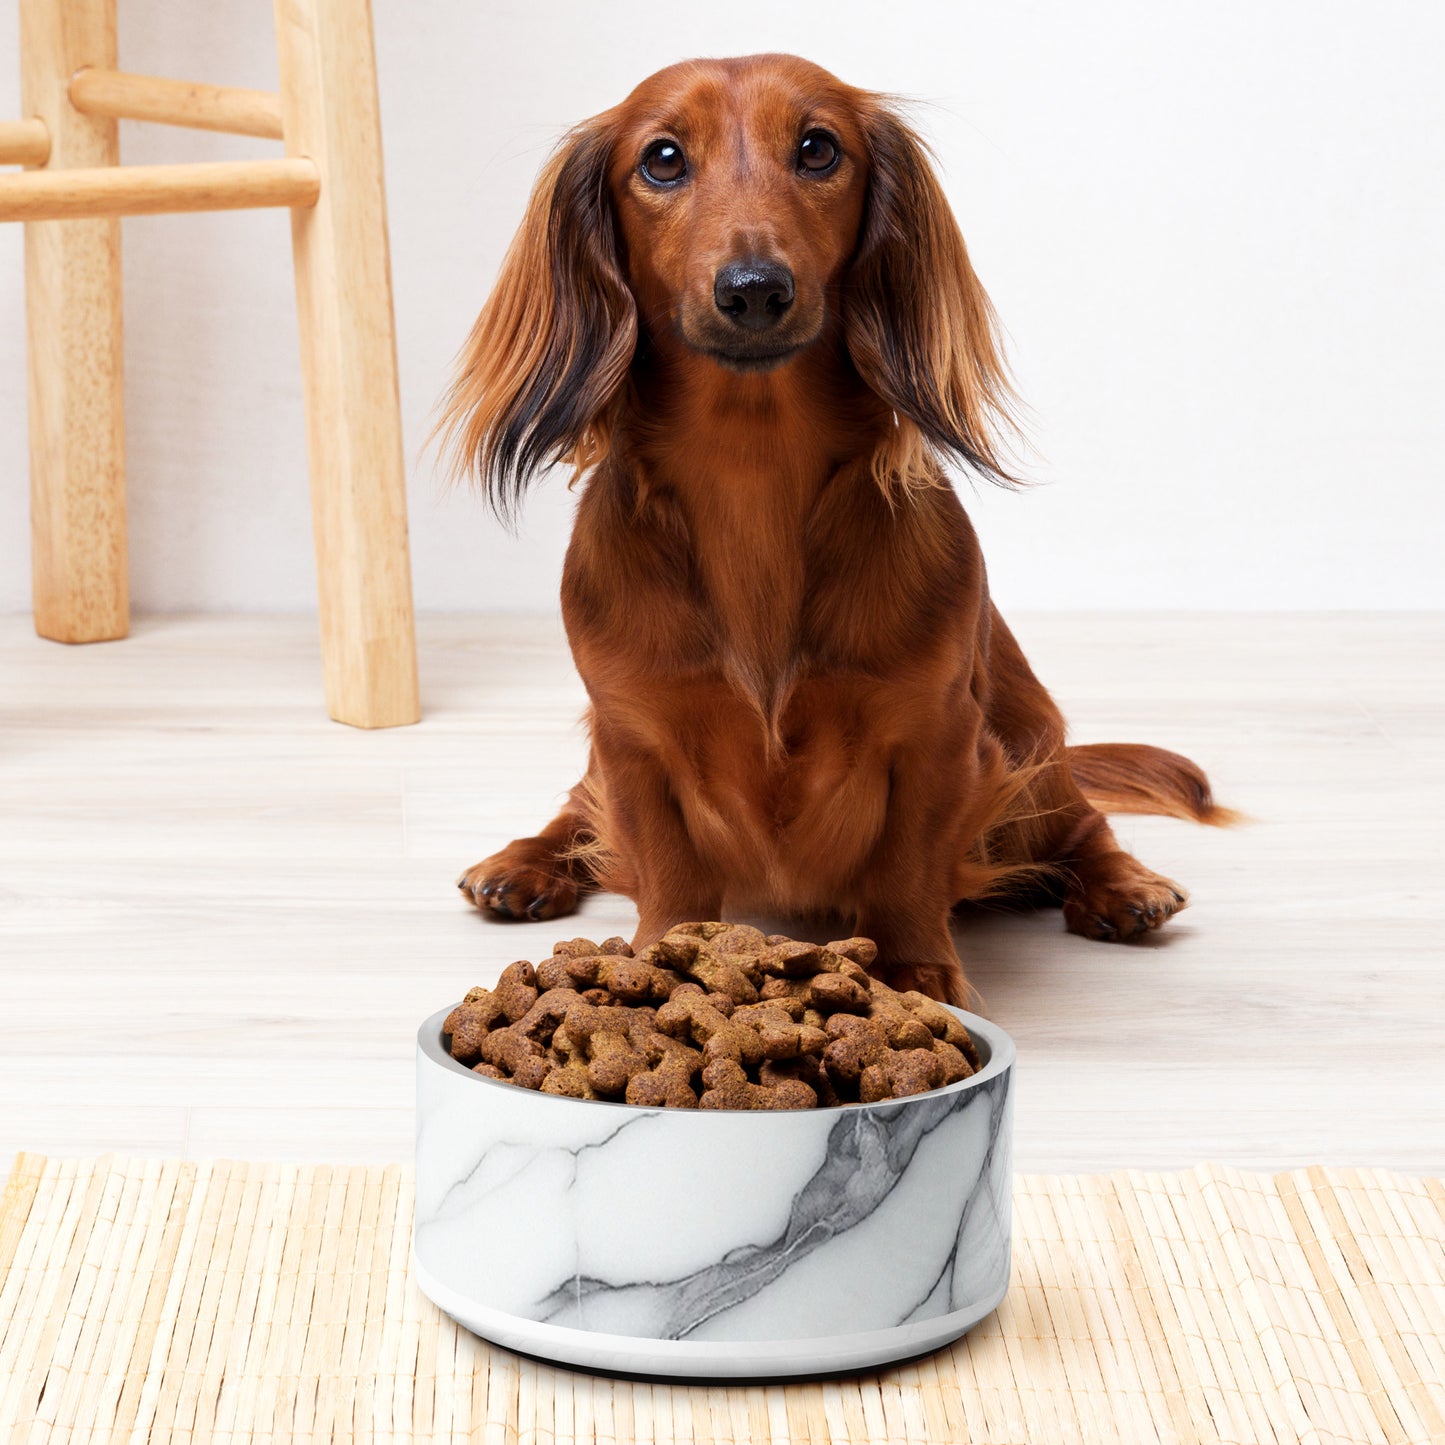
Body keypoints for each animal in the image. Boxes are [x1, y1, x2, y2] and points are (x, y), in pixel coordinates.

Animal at [442, 53, 1231, 1005]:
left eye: (818, 148)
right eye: (661, 159)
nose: (753, 290)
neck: (752, 472)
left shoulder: (936, 734)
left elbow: (905, 867)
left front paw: (916, 971)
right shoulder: (632, 736)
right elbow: (665, 866)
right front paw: (660, 960)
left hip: (1028, 744)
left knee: (1080, 823)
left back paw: (1124, 885)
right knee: (575, 810)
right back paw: (523, 863)